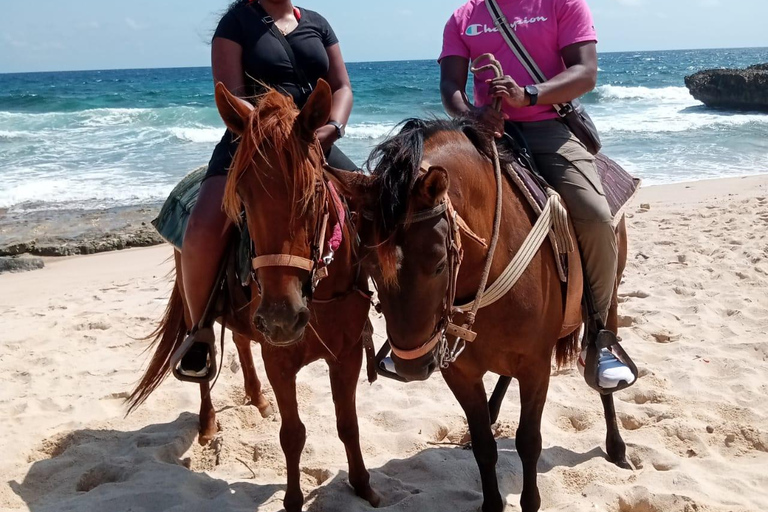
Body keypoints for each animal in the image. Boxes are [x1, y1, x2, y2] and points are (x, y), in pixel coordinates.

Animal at [128, 80, 380, 512]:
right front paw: (293, 500)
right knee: (203, 353)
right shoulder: (279, 360)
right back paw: (208, 424)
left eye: (314, 191)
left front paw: (363, 486)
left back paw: (258, 400)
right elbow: (293, 434)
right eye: (242, 200)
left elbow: (348, 425)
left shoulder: (346, 355)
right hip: (201, 305)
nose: (281, 318)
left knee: (243, 340)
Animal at [330, 119, 632, 512]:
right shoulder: (459, 371)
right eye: (368, 265)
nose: (412, 367)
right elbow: (485, 446)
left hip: (609, 297)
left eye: (438, 263)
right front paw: (490, 498)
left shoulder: (535, 367)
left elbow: (528, 441)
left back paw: (616, 445)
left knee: (603, 357)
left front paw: (530, 501)